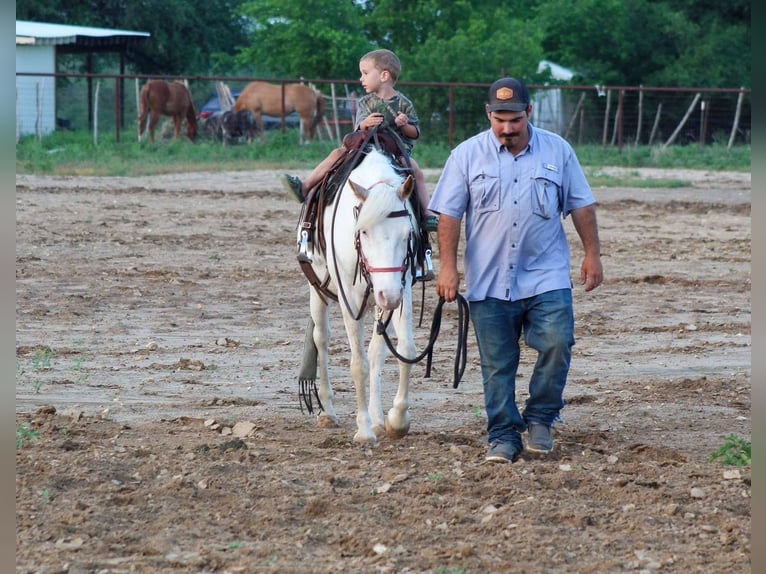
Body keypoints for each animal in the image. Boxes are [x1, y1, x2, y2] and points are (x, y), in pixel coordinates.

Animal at [297, 145, 420, 445]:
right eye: (363, 231)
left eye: (407, 234)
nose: (388, 295)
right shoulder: (350, 297)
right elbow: (358, 364)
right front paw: (363, 431)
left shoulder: (401, 288)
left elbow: (404, 349)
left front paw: (396, 420)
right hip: (318, 292)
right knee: (321, 339)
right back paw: (328, 412)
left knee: (377, 350)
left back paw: (377, 418)